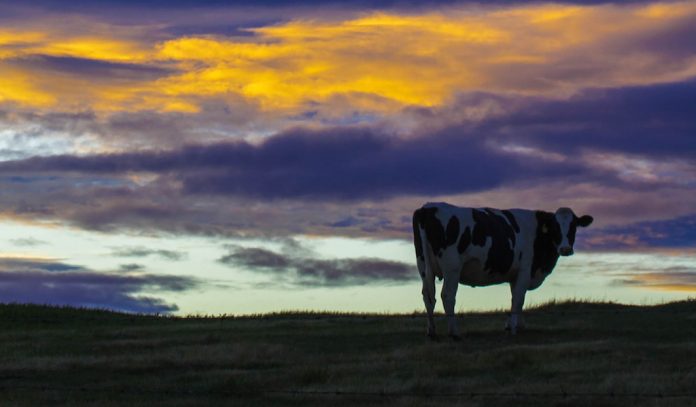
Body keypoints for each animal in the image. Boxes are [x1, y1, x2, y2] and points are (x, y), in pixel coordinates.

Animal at [412, 202, 593, 339]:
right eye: (555, 227)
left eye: (574, 227)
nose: (565, 249)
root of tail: (427, 208)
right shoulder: (525, 270)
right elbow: (519, 298)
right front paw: (512, 328)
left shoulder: (515, 275)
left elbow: (515, 298)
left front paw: (518, 325)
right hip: (452, 267)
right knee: (447, 295)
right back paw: (454, 332)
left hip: (423, 265)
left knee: (428, 296)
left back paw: (432, 332)